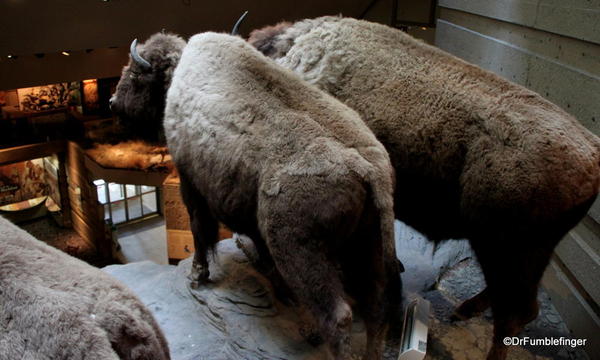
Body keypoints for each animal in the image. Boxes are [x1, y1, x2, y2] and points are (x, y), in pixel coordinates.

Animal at [110, 26, 404, 358]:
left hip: (302, 253)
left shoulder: (191, 184)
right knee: (376, 306)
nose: (112, 101)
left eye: (135, 73)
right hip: (369, 242)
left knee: (338, 316)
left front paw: (198, 275)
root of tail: (368, 168)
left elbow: (200, 231)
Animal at [247, 15, 600, 358]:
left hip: (504, 250)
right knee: (519, 303)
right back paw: (461, 310)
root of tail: (592, 155)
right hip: (527, 254)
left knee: (515, 313)